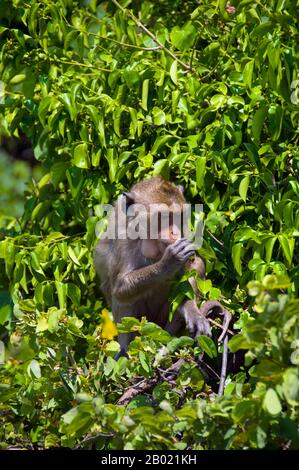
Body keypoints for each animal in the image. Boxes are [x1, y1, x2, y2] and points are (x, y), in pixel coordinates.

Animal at [94, 176, 211, 356]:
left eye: (178, 217)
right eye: (163, 217)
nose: (174, 233)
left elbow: (185, 276)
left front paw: (193, 313)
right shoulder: (123, 237)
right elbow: (119, 288)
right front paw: (168, 263)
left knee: (197, 264)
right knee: (124, 300)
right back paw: (125, 350)